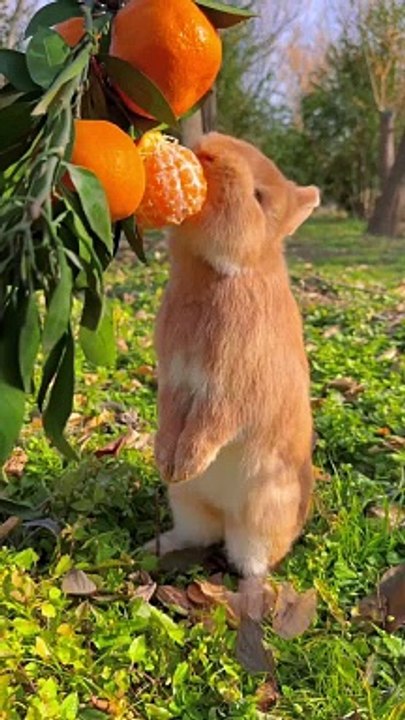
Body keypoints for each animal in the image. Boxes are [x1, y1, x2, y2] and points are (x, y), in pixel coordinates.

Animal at [147, 132, 320, 577]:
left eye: (259, 197)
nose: (208, 151)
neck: (217, 271)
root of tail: (223, 513)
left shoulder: (230, 390)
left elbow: (210, 423)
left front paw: (185, 464)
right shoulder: (175, 379)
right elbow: (172, 415)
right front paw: (166, 461)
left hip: (259, 517)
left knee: (251, 559)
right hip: (187, 504)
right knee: (197, 534)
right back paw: (154, 545)